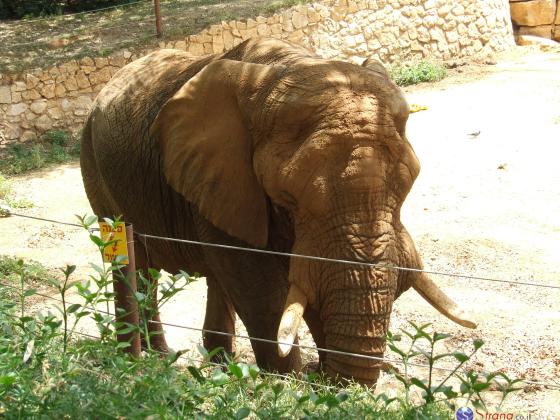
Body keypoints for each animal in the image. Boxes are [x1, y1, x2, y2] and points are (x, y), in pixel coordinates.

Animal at [81, 37, 474, 386]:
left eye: (409, 184)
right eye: (287, 198)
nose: (323, 378)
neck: (290, 66)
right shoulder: (229, 178)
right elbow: (263, 290)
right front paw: (289, 387)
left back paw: (212, 367)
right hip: (94, 167)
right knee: (130, 261)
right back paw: (150, 361)